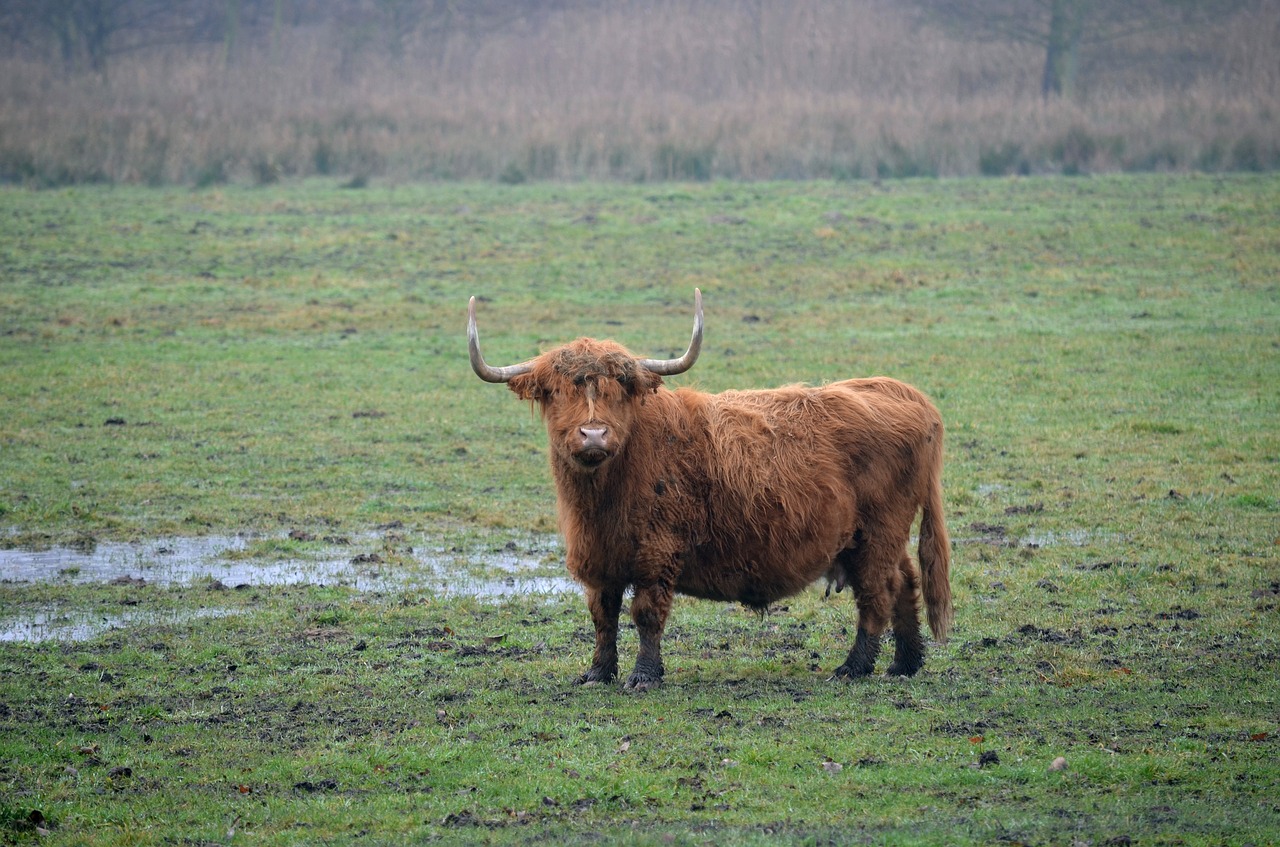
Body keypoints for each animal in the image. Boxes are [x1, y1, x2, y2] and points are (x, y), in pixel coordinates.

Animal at [471, 290, 952, 690]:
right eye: (555, 391)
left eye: (620, 389)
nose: (593, 434)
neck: (602, 497)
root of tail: (903, 393)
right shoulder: (599, 557)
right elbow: (602, 616)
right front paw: (597, 673)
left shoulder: (657, 552)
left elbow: (646, 613)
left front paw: (644, 676)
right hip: (873, 537)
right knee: (904, 580)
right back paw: (904, 664)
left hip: (876, 531)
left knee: (877, 593)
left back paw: (854, 667)